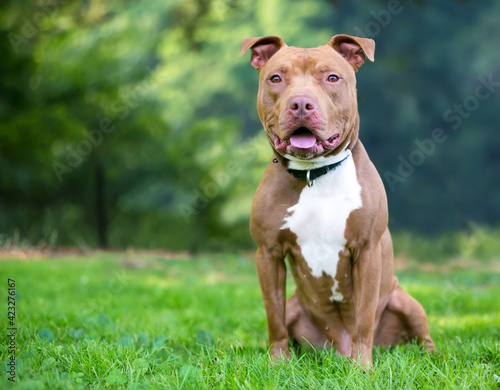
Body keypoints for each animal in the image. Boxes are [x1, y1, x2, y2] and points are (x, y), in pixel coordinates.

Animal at [239, 35, 434, 368]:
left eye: (332, 78)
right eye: (276, 78)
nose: (301, 103)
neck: (314, 174)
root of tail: (336, 349)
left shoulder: (367, 251)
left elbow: (364, 317)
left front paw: (362, 368)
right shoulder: (268, 254)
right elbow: (273, 317)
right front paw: (278, 364)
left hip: (405, 301)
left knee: (422, 338)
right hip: (296, 306)